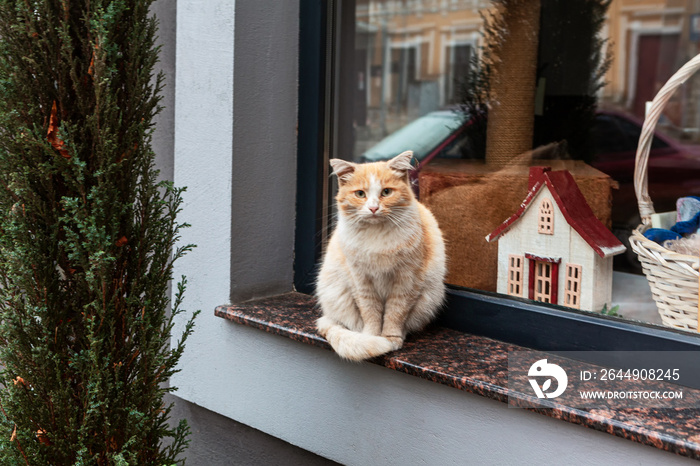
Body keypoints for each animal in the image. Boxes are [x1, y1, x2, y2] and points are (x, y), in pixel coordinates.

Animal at [316, 151, 446, 362]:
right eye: (360, 194)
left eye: (386, 192)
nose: (373, 208)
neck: (377, 236)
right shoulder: (361, 281)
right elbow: (370, 311)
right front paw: (372, 336)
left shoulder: (406, 281)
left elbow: (395, 312)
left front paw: (390, 338)